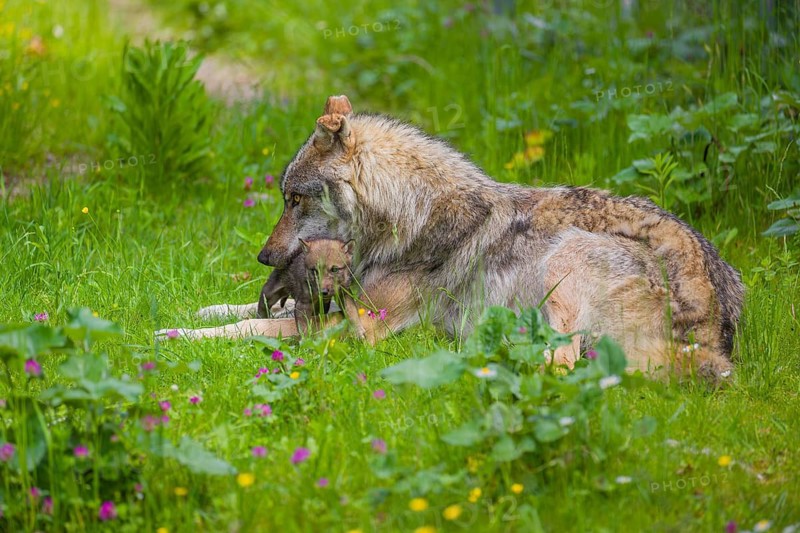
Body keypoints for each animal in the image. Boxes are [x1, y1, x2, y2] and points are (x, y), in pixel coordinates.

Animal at [161, 95, 744, 380]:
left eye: (293, 200)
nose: (263, 257)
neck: (409, 219)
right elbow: (244, 309)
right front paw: (197, 309)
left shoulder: (357, 326)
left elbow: (252, 326)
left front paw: (175, 335)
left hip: (564, 268)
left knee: (562, 364)